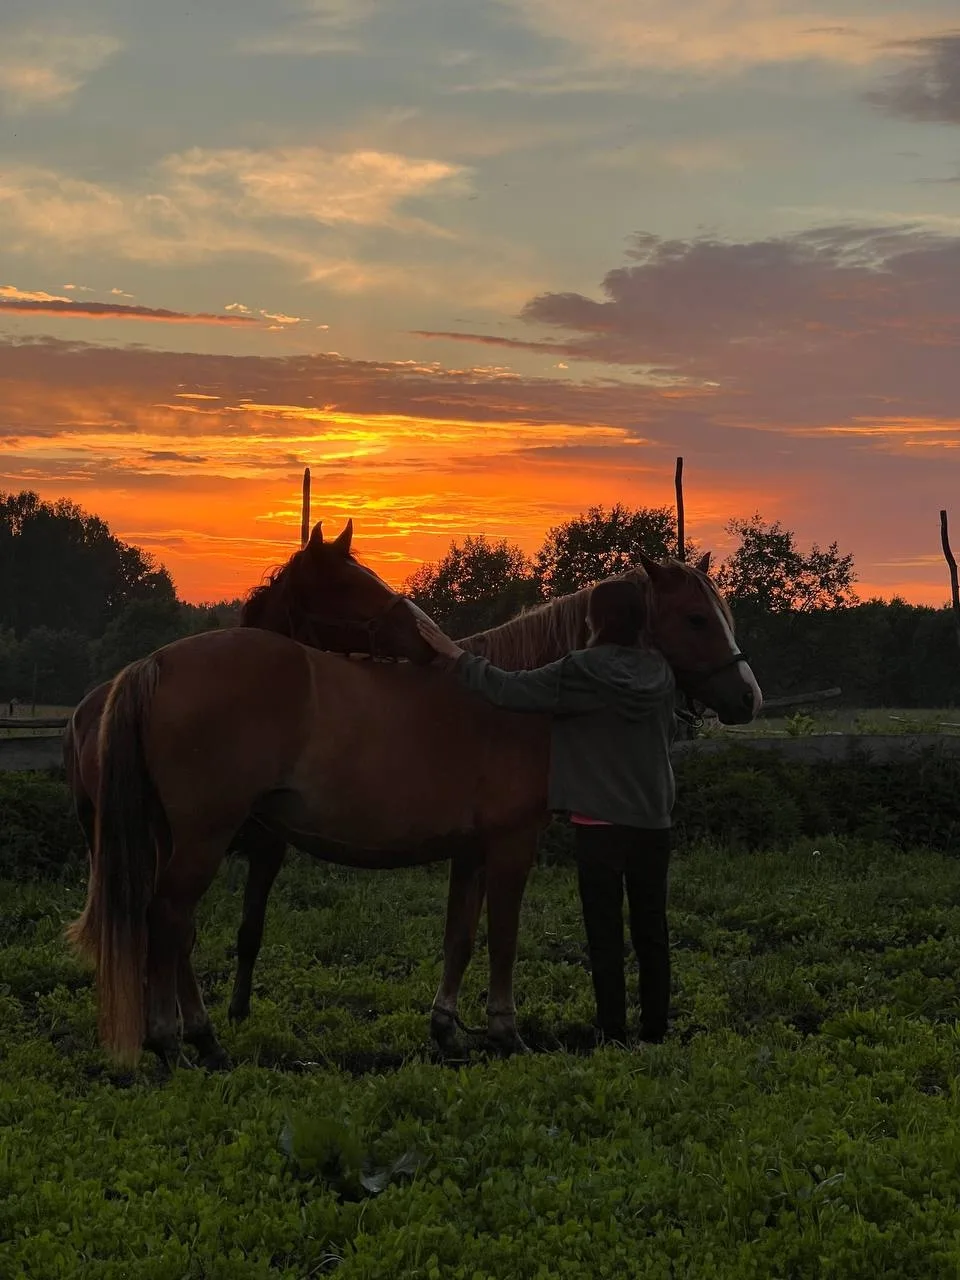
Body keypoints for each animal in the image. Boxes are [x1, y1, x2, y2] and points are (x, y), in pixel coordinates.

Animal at [67, 548, 761, 1070]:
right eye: (696, 618)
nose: (747, 698)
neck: (522, 698)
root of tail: (153, 664)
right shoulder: (512, 844)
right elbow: (503, 936)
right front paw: (505, 1032)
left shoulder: (471, 851)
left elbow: (460, 937)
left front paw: (449, 1029)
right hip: (204, 836)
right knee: (167, 919)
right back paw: (175, 1041)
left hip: (175, 838)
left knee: (171, 926)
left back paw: (198, 1040)